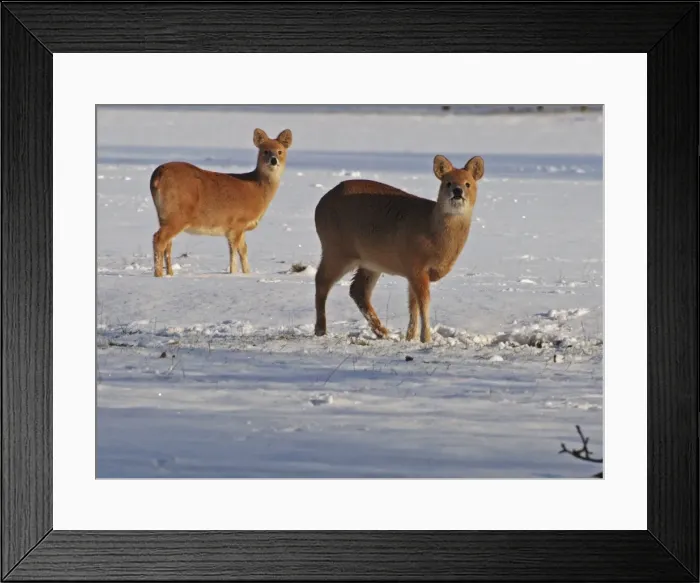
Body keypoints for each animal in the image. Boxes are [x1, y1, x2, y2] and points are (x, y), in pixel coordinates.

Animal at [149, 128, 292, 277]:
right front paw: (233, 273)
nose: (273, 160)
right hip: (177, 214)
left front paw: (247, 273)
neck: (256, 188)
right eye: (265, 151)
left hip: (164, 215)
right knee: (159, 238)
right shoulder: (237, 223)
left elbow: (243, 250)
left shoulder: (239, 228)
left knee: (168, 244)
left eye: (280, 151)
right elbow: (234, 252)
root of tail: (157, 175)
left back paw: (170, 274)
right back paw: (158, 275)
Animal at [313, 154, 484, 343]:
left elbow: (413, 304)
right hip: (336, 248)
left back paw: (382, 332)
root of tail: (320, 204)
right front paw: (426, 338)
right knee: (322, 280)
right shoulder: (416, 265)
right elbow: (423, 303)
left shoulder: (413, 271)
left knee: (358, 291)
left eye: (468, 183)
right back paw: (320, 329)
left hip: (370, 261)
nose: (457, 191)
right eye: (448, 182)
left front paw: (410, 337)